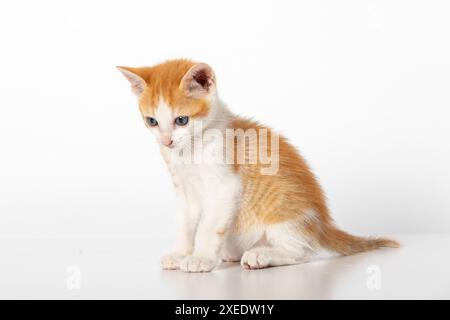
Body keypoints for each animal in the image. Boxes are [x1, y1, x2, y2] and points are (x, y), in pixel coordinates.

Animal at [118, 59, 400, 272]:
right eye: (152, 121)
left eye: (181, 120)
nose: (166, 141)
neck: (190, 150)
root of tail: (323, 225)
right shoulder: (184, 189)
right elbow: (185, 224)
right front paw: (180, 253)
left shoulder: (226, 186)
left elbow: (209, 226)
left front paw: (201, 257)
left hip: (282, 213)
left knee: (303, 252)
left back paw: (262, 255)